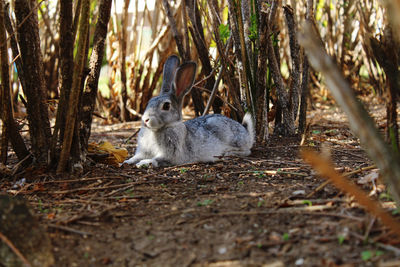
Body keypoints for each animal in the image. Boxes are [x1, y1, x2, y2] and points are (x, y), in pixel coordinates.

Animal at [123, 55, 255, 168]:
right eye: (149, 102)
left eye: (166, 106)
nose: (145, 120)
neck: (157, 130)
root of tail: (246, 132)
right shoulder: (143, 151)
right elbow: (136, 157)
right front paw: (126, 161)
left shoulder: (171, 155)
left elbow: (156, 159)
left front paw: (143, 163)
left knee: (247, 151)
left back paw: (227, 153)